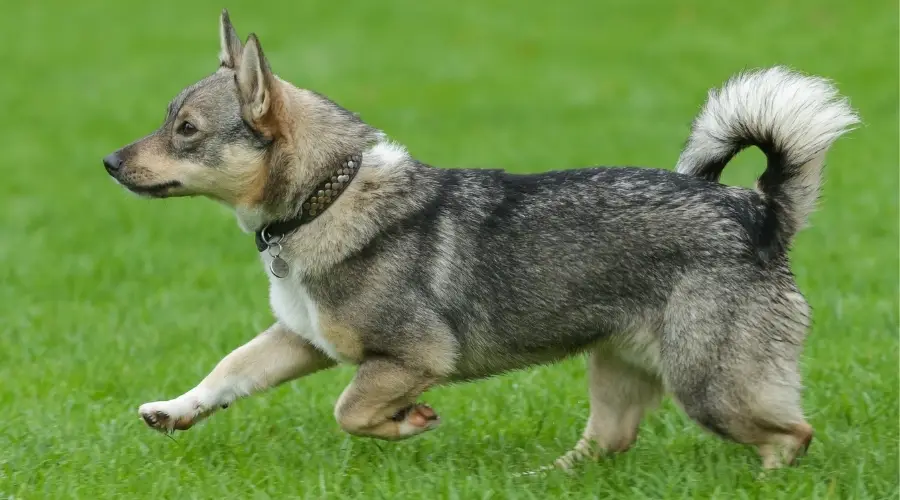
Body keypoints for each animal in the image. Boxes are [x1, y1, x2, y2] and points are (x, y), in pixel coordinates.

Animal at [105, 10, 856, 472]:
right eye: (169, 121)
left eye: (187, 131)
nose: (109, 162)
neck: (329, 197)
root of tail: (760, 211)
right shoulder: (300, 339)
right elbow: (228, 371)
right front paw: (172, 411)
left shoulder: (410, 357)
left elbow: (350, 409)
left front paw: (408, 423)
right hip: (620, 365)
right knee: (607, 442)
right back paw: (542, 479)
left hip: (707, 384)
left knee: (792, 434)